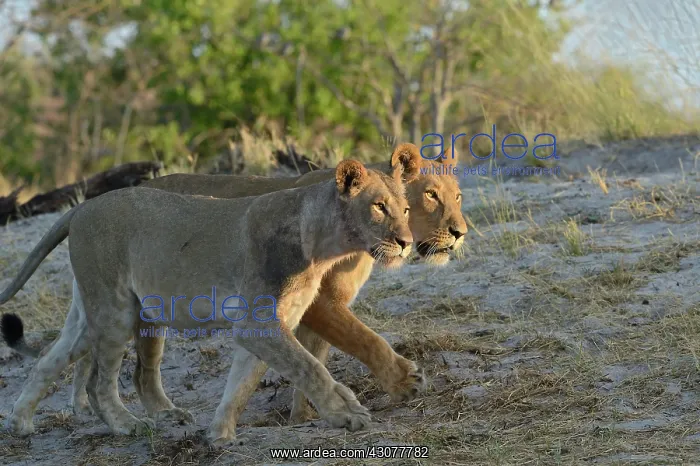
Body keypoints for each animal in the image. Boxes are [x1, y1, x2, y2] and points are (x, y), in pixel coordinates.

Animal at [1, 144, 467, 445]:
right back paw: (127, 425)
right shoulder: (265, 321)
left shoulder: (272, 322)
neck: (324, 242)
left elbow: (245, 381)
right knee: (105, 381)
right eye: (379, 207)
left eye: (404, 208)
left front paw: (220, 434)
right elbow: (315, 364)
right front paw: (351, 409)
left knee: (52, 358)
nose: (404, 242)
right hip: (118, 310)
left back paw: (21, 423)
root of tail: (82, 207)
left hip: (107, 309)